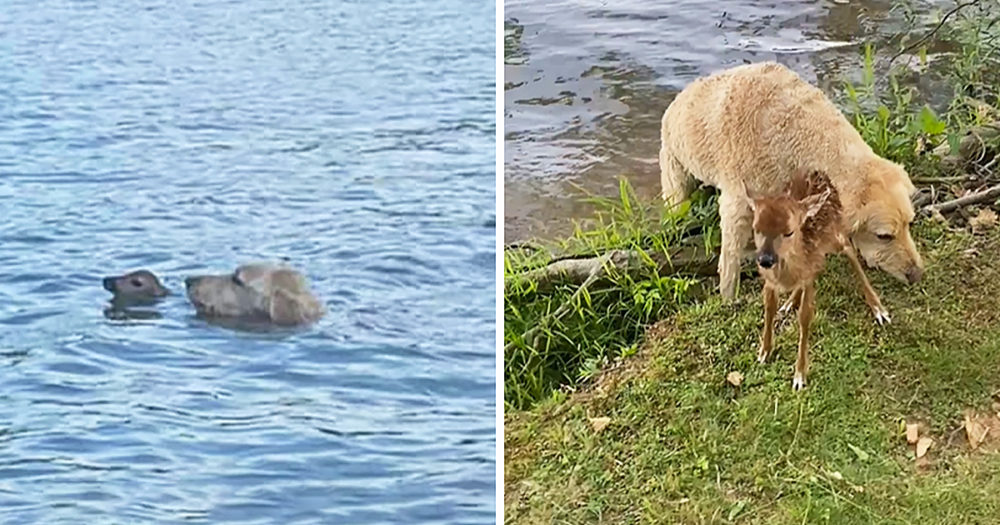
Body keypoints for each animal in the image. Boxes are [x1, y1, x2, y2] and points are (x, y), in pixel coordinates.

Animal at [744, 169, 890, 390]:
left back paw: (879, 309)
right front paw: (764, 352)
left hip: (835, 234)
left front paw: (799, 375)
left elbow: (805, 318)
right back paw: (789, 303)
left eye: (789, 231)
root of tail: (819, 173)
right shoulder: (770, 281)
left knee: (849, 249)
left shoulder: (809, 273)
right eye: (756, 228)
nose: (765, 259)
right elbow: (769, 308)